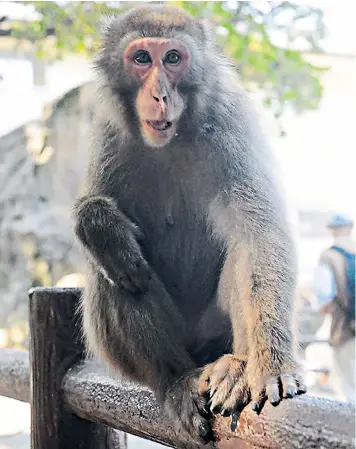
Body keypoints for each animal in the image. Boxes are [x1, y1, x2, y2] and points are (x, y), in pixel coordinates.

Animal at [72, 4, 306, 444]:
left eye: (173, 58)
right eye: (141, 58)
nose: (160, 95)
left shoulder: (232, 122)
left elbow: (258, 236)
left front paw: (273, 362)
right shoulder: (106, 131)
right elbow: (95, 217)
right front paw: (100, 225)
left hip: (216, 331)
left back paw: (236, 367)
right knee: (115, 272)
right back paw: (175, 380)